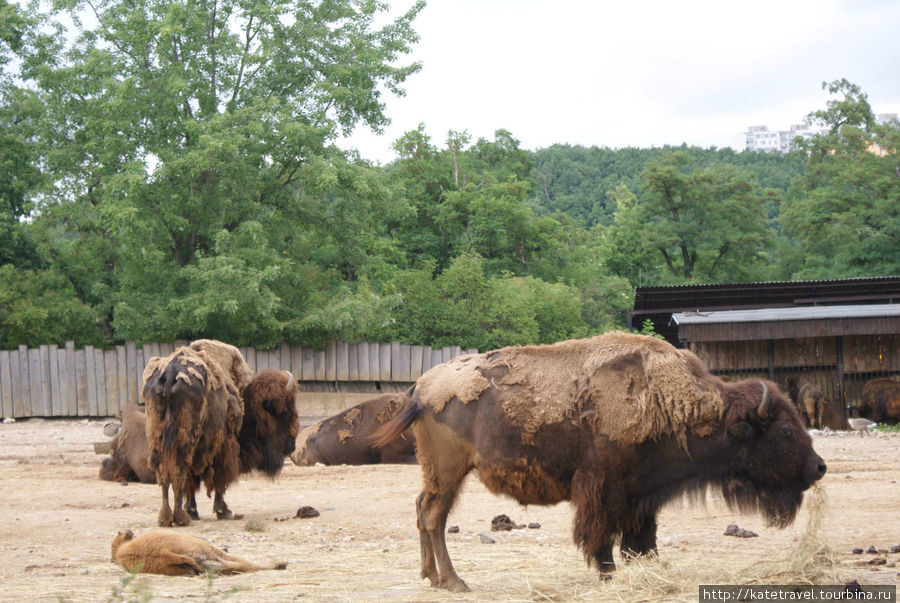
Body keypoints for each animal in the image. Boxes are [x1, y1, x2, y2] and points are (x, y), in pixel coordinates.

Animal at [374, 332, 828, 592]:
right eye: (784, 431)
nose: (819, 467)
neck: (670, 403)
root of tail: (421, 388)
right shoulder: (604, 488)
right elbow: (602, 534)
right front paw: (607, 572)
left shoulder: (642, 494)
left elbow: (642, 535)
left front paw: (647, 565)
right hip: (450, 472)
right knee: (434, 517)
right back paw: (454, 582)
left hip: (436, 474)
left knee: (421, 509)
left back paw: (432, 577)